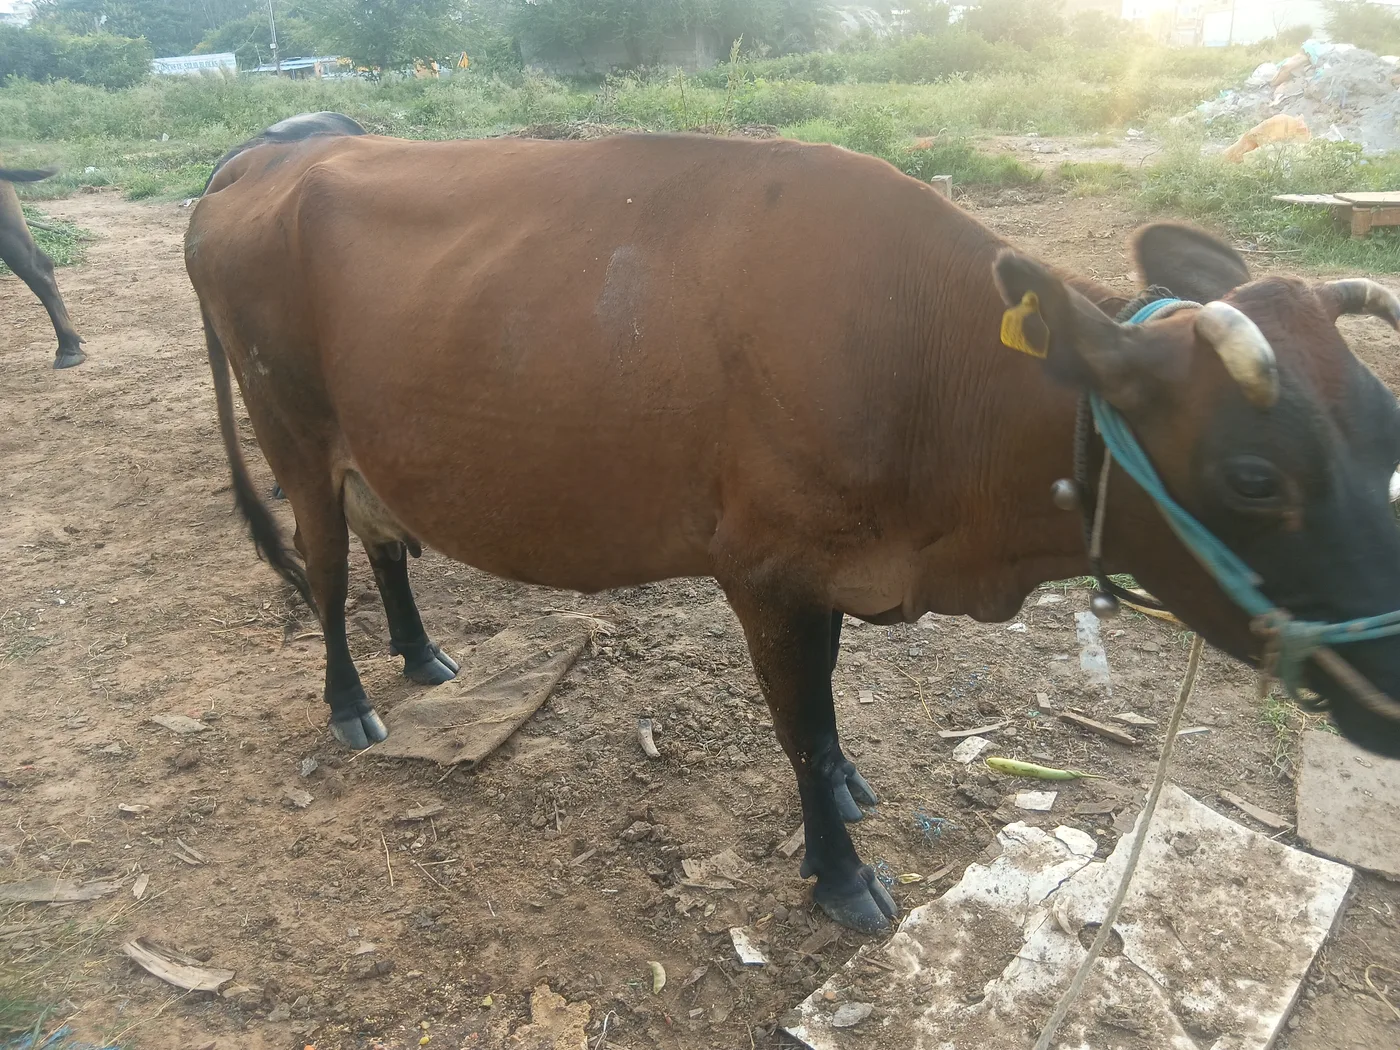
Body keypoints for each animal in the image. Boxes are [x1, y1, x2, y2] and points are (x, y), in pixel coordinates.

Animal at [186, 122, 1400, 934]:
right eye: (1253, 477)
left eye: (1385, 427)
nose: (1393, 677)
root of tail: (261, 162)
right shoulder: (761, 566)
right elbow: (800, 726)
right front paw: (840, 872)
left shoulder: (834, 567)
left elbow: (827, 700)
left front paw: (853, 789)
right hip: (291, 432)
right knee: (325, 570)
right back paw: (352, 702)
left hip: (365, 443)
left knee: (385, 541)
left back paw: (423, 654)